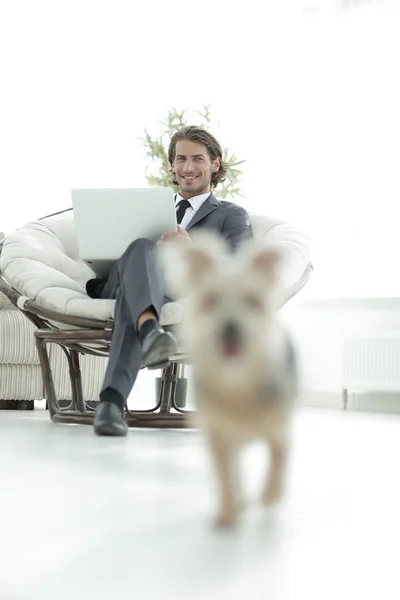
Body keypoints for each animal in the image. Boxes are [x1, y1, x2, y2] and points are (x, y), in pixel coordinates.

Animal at [159, 231, 296, 524]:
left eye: (252, 301)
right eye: (211, 300)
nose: (230, 327)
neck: (237, 378)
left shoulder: (279, 428)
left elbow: (278, 460)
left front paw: (270, 495)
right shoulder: (219, 435)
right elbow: (225, 473)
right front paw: (228, 511)